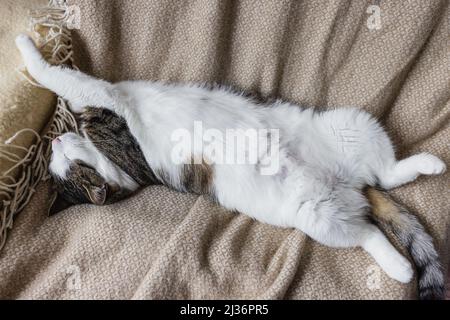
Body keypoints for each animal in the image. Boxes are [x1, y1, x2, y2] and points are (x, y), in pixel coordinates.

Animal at [14, 33, 446, 298]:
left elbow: (54, 75)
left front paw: (22, 42)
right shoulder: (101, 104)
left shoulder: (97, 98)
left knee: (388, 171)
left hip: (352, 124)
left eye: (62, 164)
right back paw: (400, 267)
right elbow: (55, 75)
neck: (115, 169)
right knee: (368, 231)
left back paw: (430, 164)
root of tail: (350, 183)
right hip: (319, 218)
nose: (54, 142)